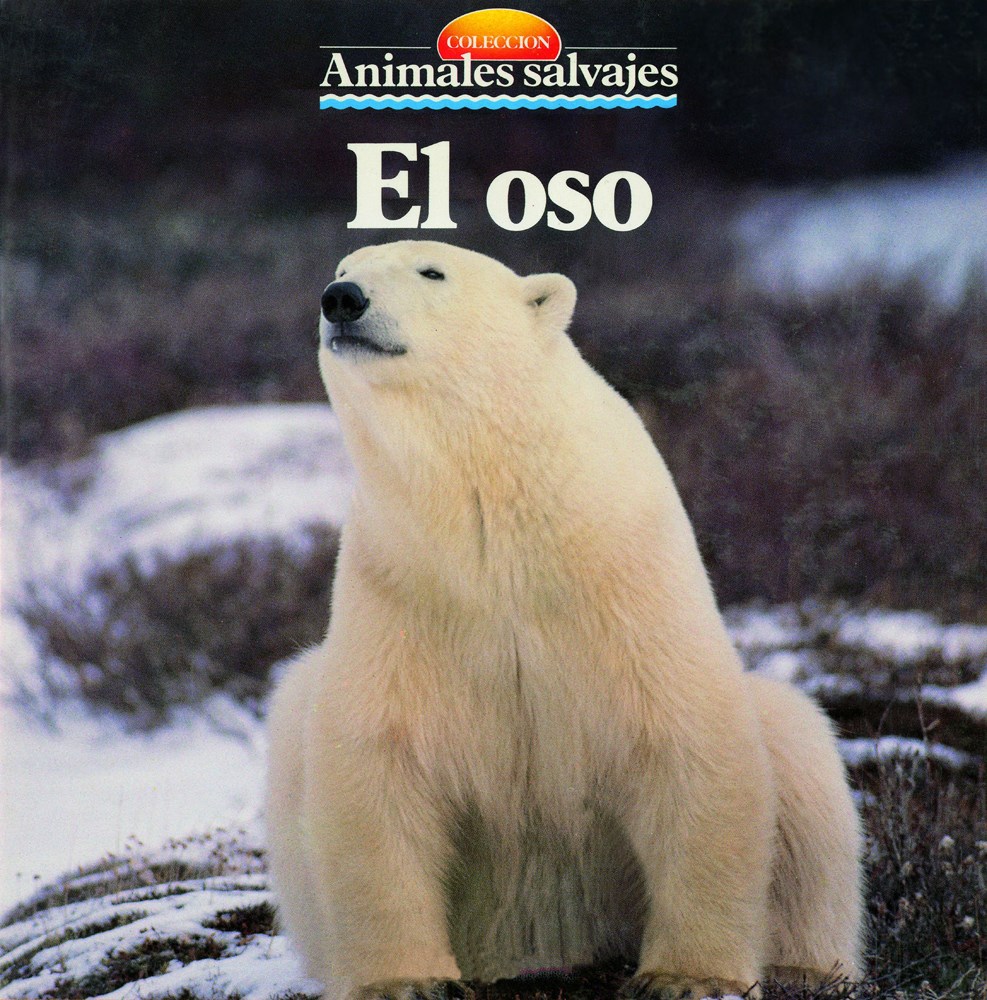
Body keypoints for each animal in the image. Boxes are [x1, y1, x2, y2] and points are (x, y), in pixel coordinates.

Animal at [265, 240, 863, 1000]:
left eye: (432, 271)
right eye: (346, 264)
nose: (341, 299)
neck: (501, 529)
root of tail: (549, 940)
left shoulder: (625, 576)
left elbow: (688, 746)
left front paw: (683, 977)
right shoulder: (403, 588)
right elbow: (378, 762)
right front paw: (406, 980)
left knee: (798, 750)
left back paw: (802, 964)